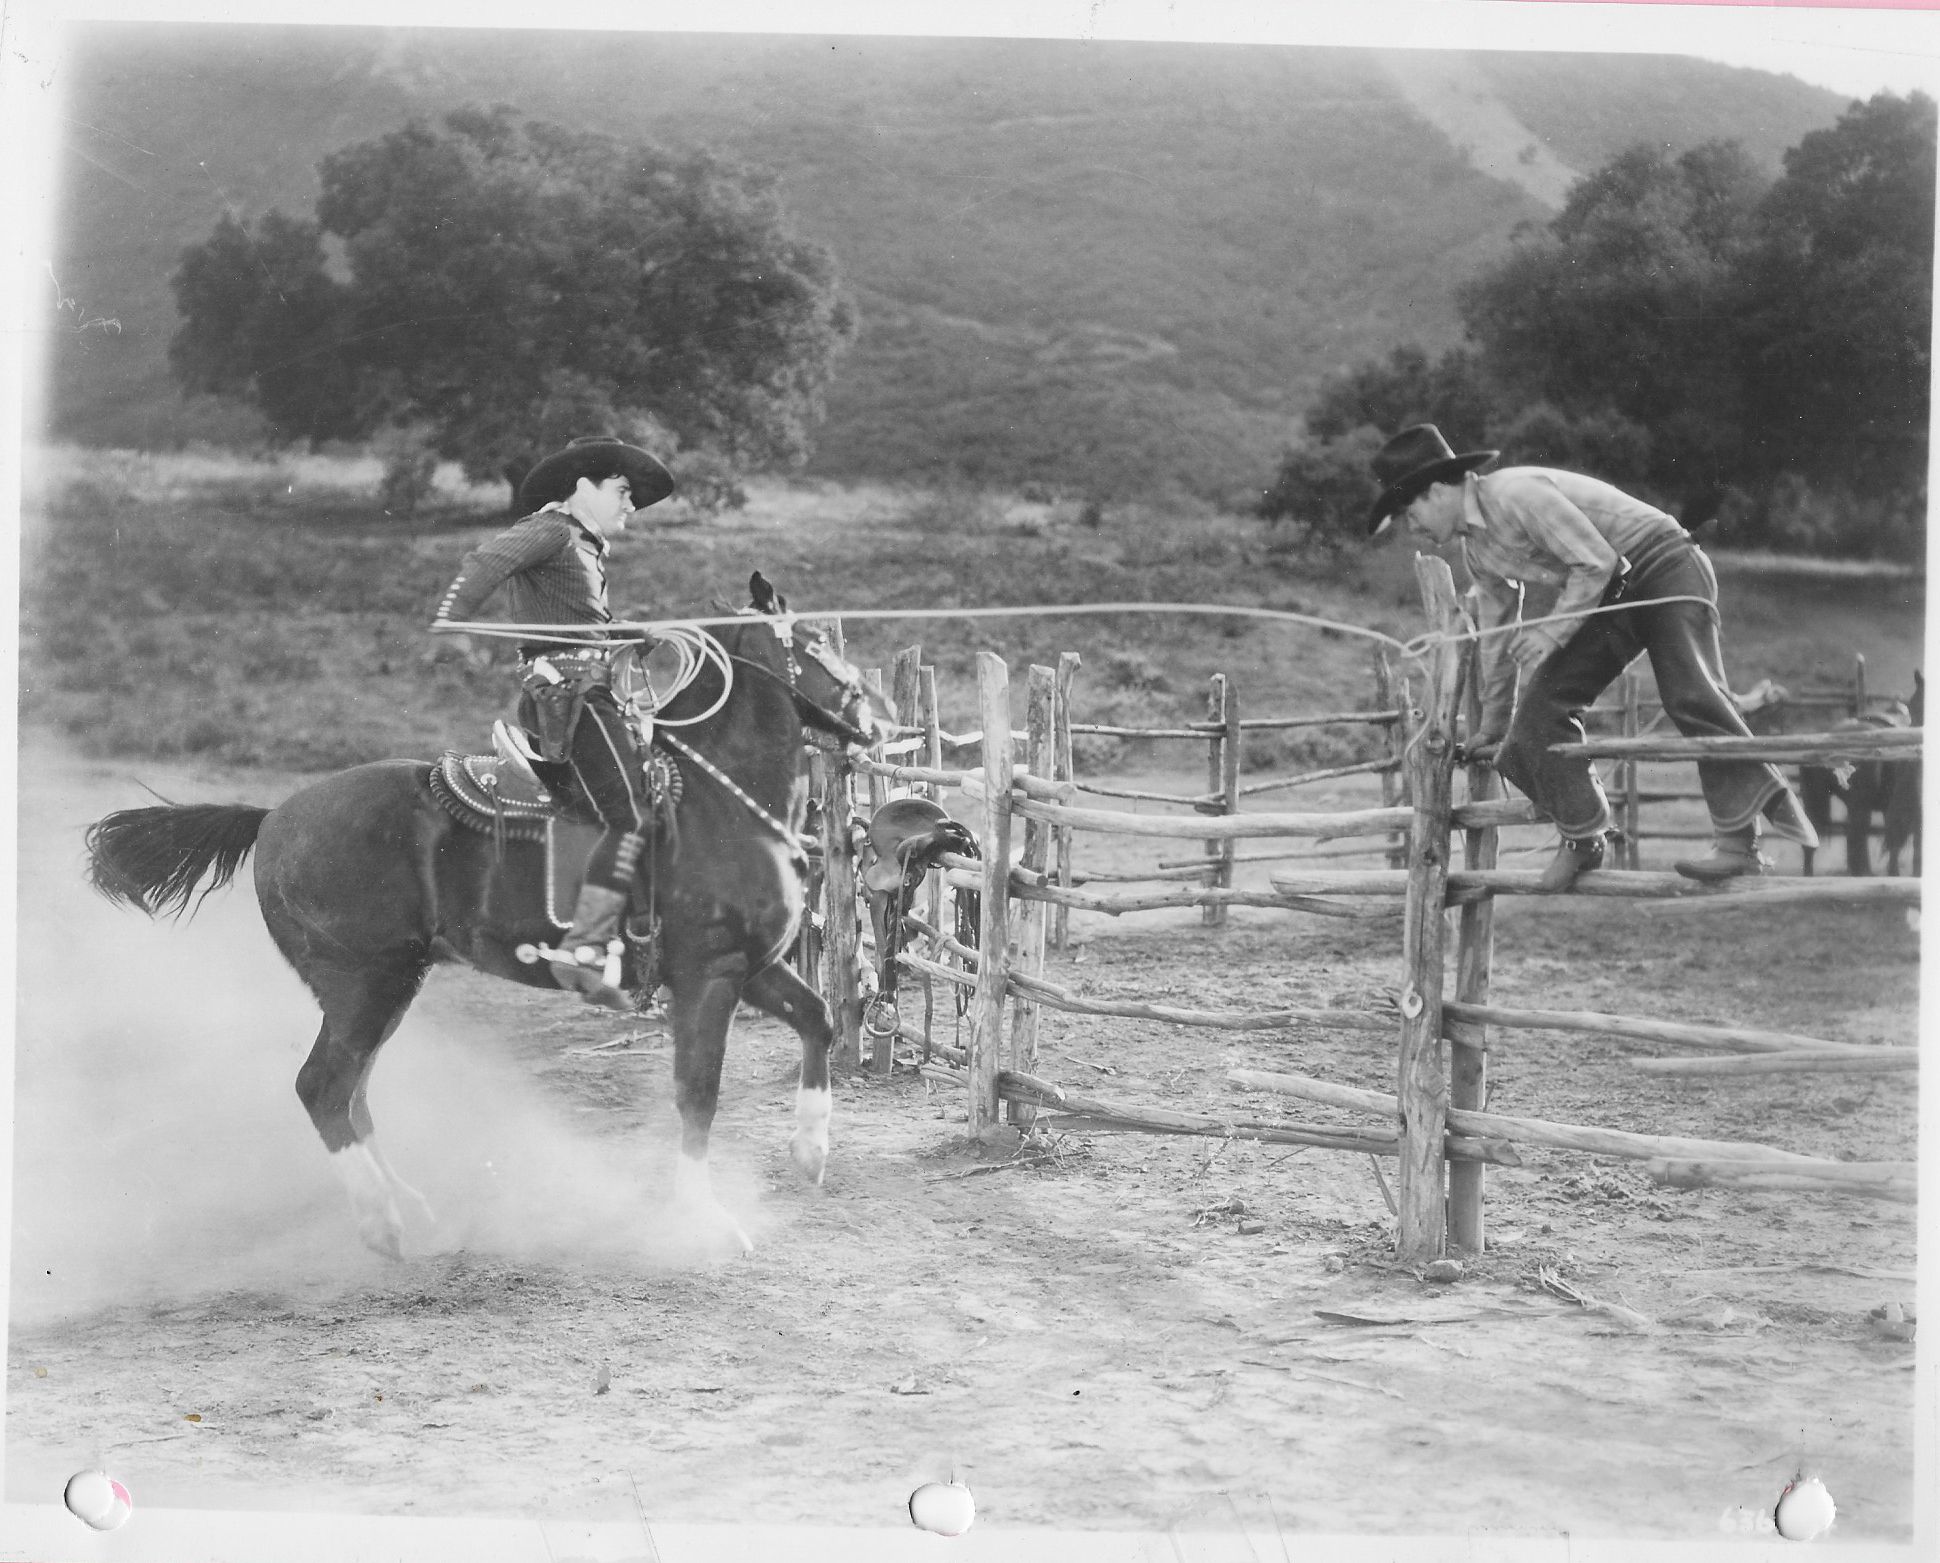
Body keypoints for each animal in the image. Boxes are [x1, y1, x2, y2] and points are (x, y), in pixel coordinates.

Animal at [87, 574, 876, 1264]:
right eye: (816, 640)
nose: (869, 712)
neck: (719, 802)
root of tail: (272, 815)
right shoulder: (707, 975)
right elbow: (697, 1093)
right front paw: (705, 1221)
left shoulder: (752, 967)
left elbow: (817, 1019)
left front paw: (811, 1151)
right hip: (364, 985)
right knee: (323, 1087)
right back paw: (384, 1222)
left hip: (383, 988)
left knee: (353, 1093)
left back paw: (414, 1208)